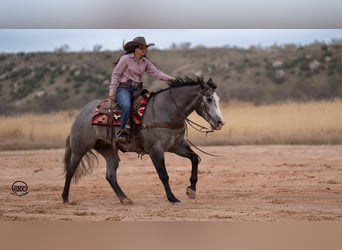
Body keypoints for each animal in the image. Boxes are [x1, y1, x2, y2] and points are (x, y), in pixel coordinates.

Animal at [62, 76, 224, 205]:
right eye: (209, 99)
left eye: (217, 99)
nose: (220, 122)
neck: (166, 110)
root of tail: (81, 113)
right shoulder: (155, 150)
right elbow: (163, 174)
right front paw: (172, 198)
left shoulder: (177, 146)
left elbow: (195, 158)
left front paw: (191, 190)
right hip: (79, 148)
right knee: (70, 170)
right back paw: (65, 198)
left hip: (108, 149)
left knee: (110, 175)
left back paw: (125, 199)